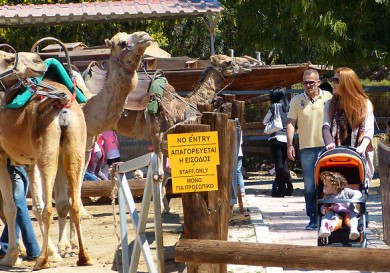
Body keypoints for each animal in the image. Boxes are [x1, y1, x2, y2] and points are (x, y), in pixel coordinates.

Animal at [0, 50, 93, 268]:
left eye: (8, 58)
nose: (37, 61)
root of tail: (62, 106)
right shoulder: (30, 162)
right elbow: (36, 205)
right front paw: (53, 251)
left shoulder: (1, 157)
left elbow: (11, 207)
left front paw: (11, 257)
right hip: (73, 148)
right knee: (73, 202)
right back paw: (83, 256)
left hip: (48, 154)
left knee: (50, 207)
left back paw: (41, 261)